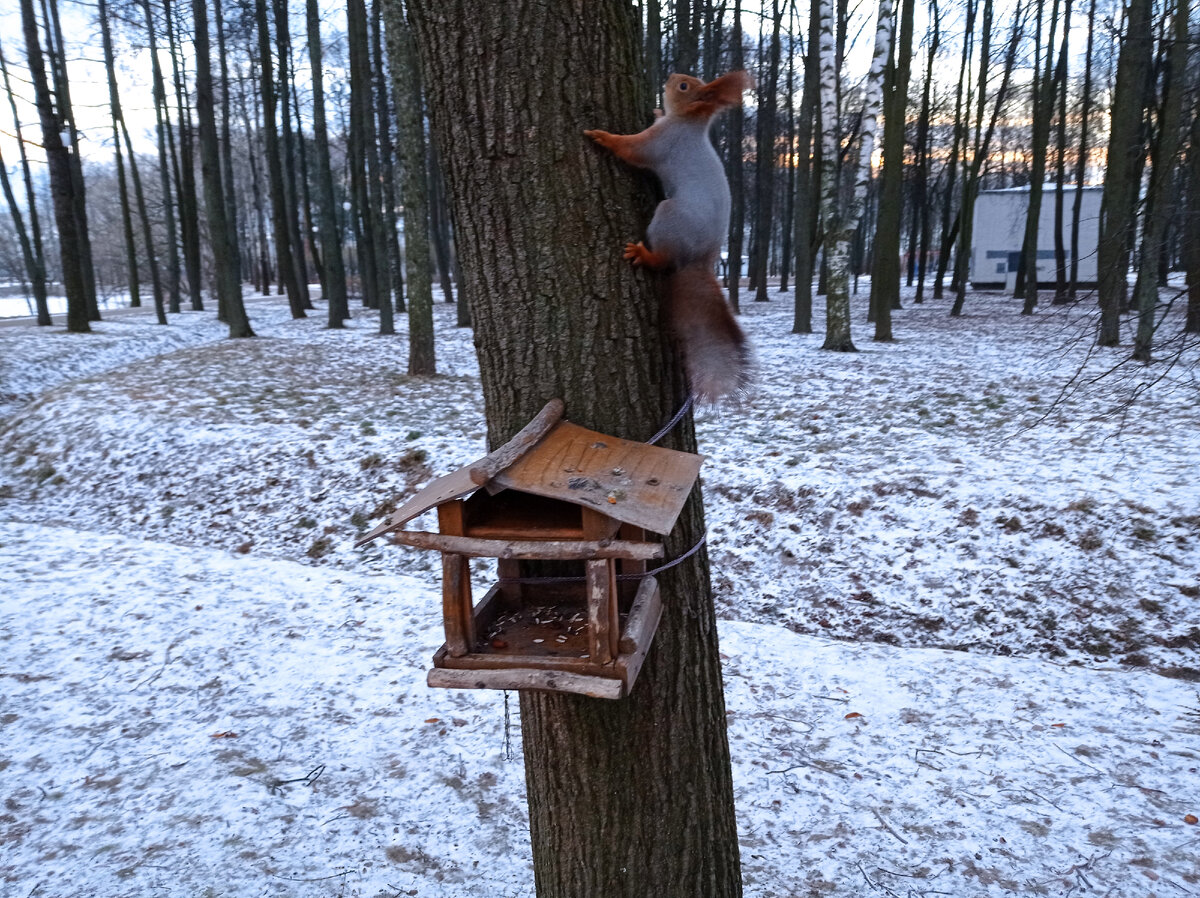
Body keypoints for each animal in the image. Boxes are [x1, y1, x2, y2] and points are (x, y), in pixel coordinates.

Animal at [588, 72, 753, 400]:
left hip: (669, 217)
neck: (689, 123)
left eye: (684, 86)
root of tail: (703, 258)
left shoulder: (661, 141)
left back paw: (644, 255)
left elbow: (631, 148)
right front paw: (656, 110)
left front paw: (604, 137)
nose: (671, 76)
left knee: (663, 259)